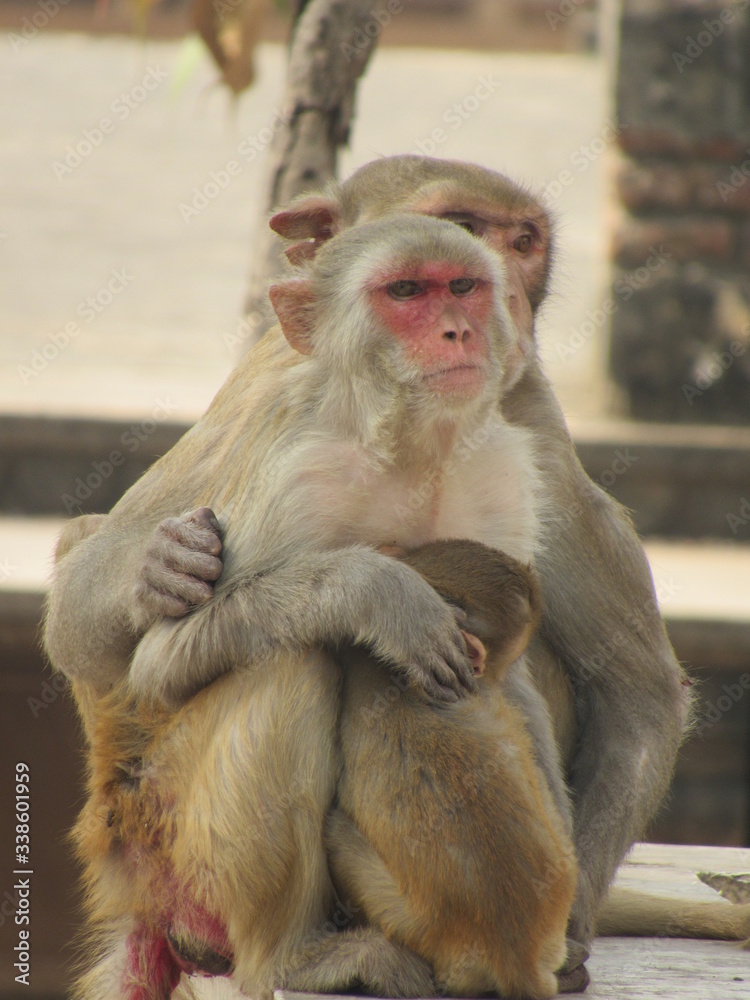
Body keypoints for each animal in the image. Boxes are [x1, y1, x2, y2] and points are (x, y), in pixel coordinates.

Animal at [45, 157, 692, 988]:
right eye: (408, 291)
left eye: (468, 281)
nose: (473, 322)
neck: (412, 438)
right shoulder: (295, 458)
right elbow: (160, 656)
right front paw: (375, 595)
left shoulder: (514, 458)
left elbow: (568, 683)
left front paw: (563, 924)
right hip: (172, 837)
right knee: (289, 661)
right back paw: (300, 953)